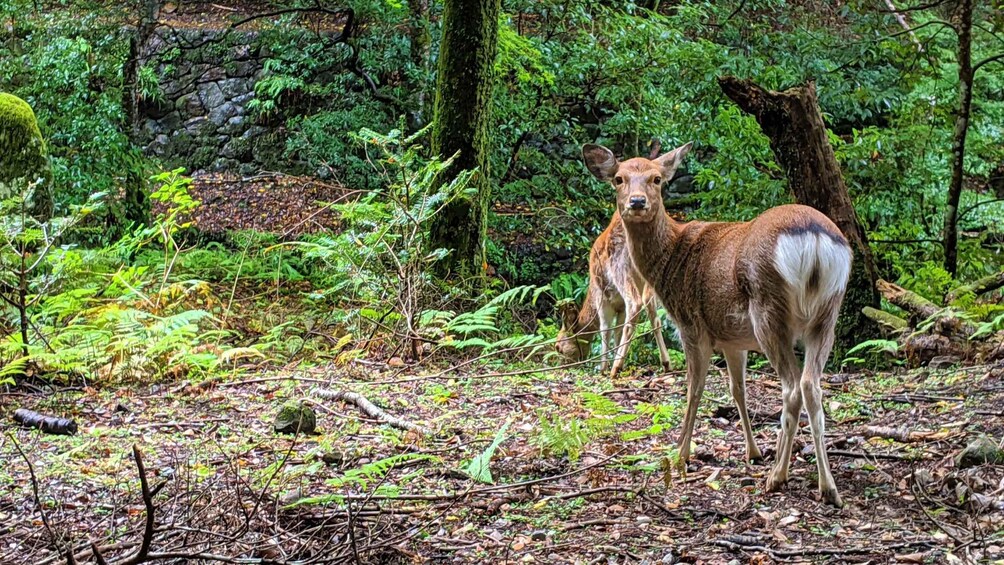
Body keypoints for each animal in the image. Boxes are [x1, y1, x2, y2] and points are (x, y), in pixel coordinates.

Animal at [558, 213, 674, 379]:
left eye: (558, 347)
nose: (562, 367)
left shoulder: (601, 297)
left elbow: (605, 329)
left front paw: (603, 368)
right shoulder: (621, 307)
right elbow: (617, 330)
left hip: (620, 267)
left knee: (635, 303)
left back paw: (615, 368)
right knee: (653, 314)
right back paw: (666, 364)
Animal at [586, 141, 851, 507]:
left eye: (657, 179)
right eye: (619, 179)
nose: (637, 203)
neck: (670, 259)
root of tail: (813, 241)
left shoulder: (692, 324)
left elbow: (695, 388)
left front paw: (681, 453)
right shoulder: (732, 340)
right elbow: (738, 391)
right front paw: (753, 452)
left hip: (769, 312)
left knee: (792, 388)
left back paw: (778, 477)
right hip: (829, 312)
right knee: (812, 385)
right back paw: (828, 488)